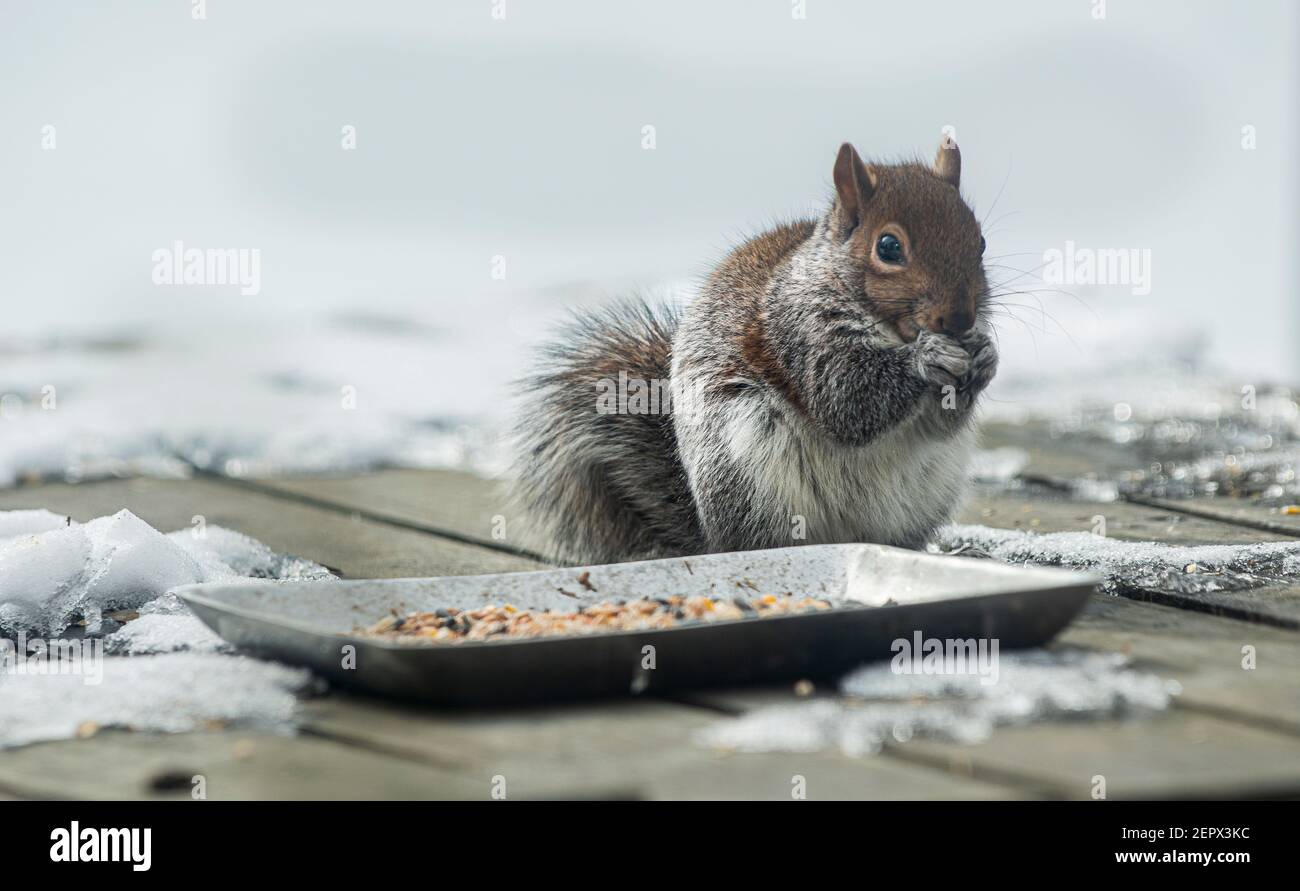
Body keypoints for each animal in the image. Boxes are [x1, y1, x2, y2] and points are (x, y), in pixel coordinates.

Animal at [506, 139, 993, 561]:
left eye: (981, 241)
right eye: (888, 247)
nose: (960, 320)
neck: (893, 331)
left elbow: (939, 424)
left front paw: (985, 356)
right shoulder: (796, 331)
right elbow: (846, 402)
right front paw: (928, 358)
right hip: (747, 473)